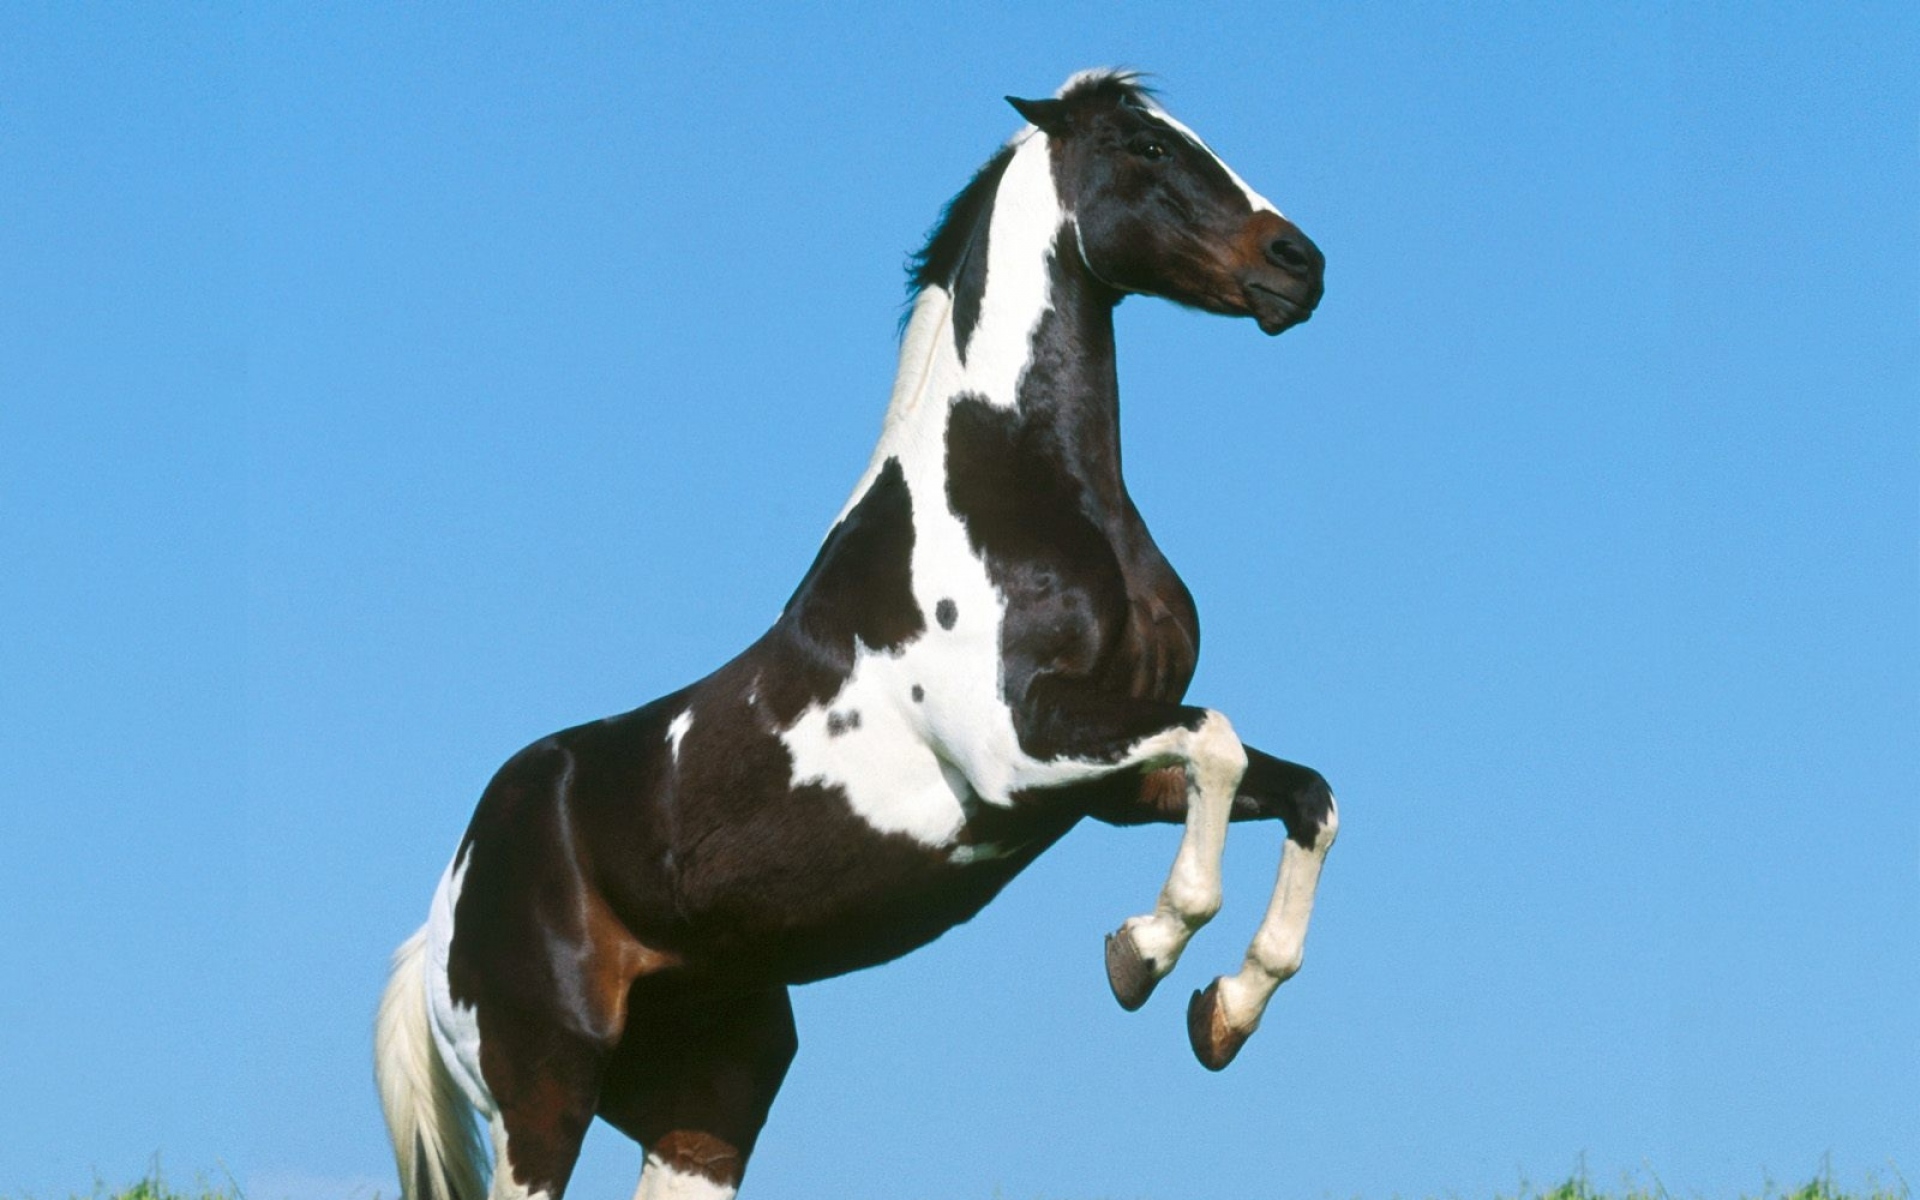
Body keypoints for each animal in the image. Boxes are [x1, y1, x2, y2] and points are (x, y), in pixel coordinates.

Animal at [375, 68, 1336, 1200]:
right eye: (1145, 146)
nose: (1300, 266)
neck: (1019, 497)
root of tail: (441, 915)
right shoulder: (1019, 750)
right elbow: (1218, 742)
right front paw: (1142, 955)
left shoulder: (1111, 778)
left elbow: (1301, 795)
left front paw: (1225, 1012)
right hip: (544, 1092)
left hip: (708, 1107)